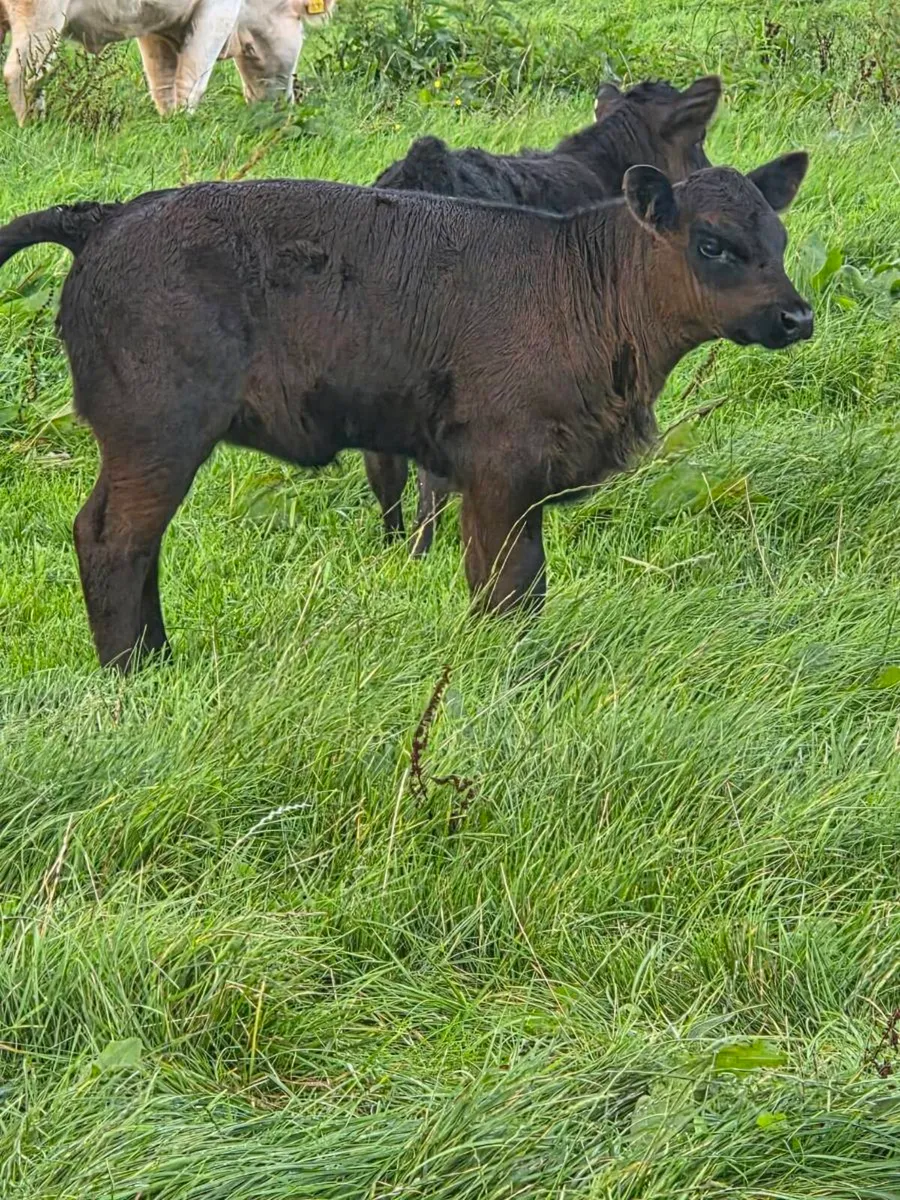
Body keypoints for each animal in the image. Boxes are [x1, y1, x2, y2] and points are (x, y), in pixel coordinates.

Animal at [0, 0, 334, 124]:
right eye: (298, 21)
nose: (283, 107)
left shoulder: (156, 28)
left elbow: (163, 82)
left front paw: (169, 122)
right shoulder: (219, 11)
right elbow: (193, 79)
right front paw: (186, 124)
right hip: (39, 15)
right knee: (21, 74)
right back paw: (34, 125)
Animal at [0, 153, 812, 670]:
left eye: (778, 237)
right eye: (713, 243)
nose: (797, 316)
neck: (580, 281)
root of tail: (107, 216)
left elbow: (527, 583)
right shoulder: (498, 469)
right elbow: (505, 584)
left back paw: (160, 660)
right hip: (158, 434)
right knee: (114, 540)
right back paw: (133, 671)